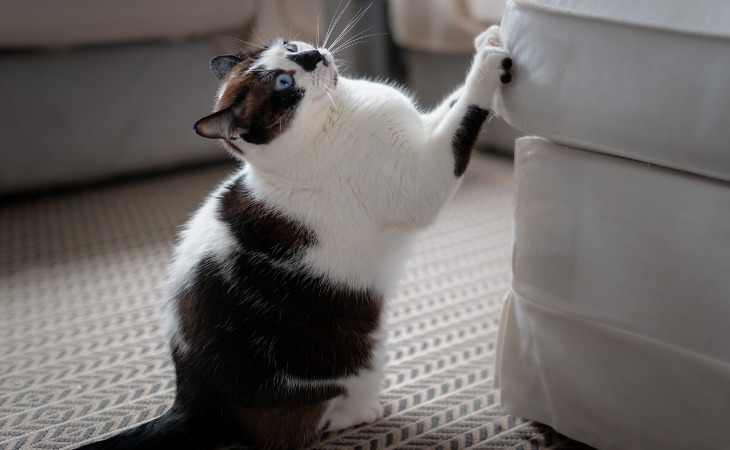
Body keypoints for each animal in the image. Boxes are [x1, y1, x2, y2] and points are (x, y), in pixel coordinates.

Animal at [78, 24, 512, 450]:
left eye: (289, 48)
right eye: (284, 83)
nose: (311, 56)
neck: (338, 111)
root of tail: (191, 396)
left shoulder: (421, 130)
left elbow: (450, 105)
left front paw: (488, 39)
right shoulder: (421, 181)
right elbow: (463, 117)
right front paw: (489, 66)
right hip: (357, 363)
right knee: (308, 426)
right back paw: (363, 413)